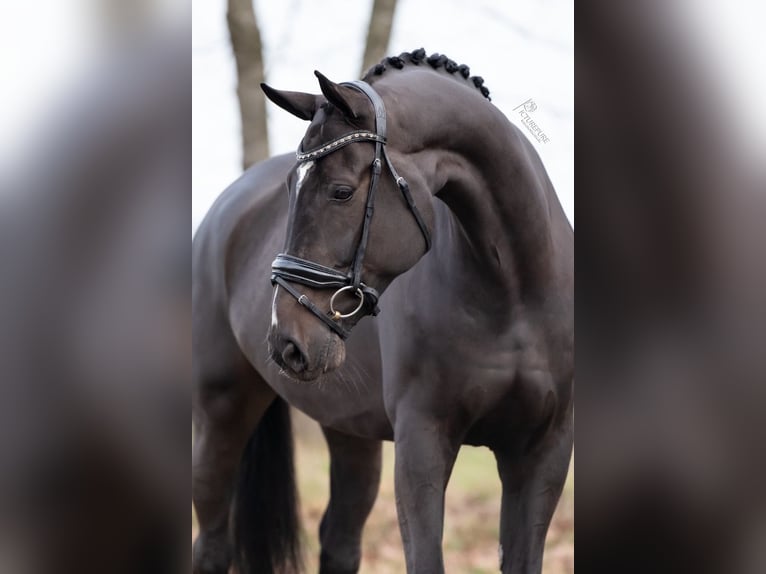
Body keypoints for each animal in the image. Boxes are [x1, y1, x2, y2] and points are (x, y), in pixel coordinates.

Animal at [192, 49, 573, 574]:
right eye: (290, 187)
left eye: (341, 191)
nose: (285, 341)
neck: (513, 295)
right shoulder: (422, 442)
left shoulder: (543, 452)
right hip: (221, 410)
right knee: (212, 545)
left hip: (348, 430)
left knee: (338, 541)